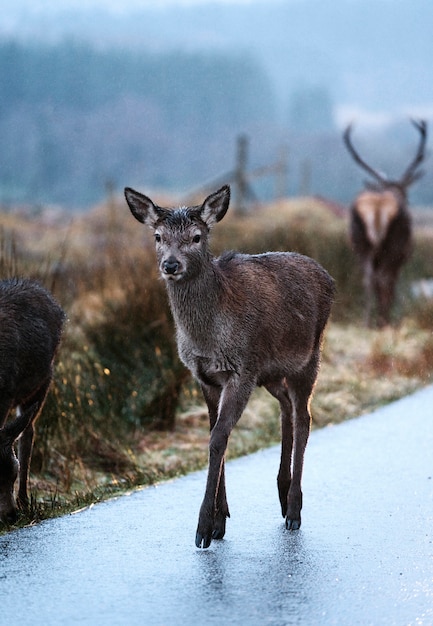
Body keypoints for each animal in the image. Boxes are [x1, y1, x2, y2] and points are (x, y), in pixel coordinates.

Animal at [0, 278, 65, 520]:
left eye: (14, 471)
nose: (10, 516)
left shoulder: (7, 392)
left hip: (44, 380)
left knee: (28, 432)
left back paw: (24, 500)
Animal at [125, 183, 334, 544]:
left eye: (196, 237)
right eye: (158, 236)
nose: (170, 265)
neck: (208, 338)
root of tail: (330, 278)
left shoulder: (241, 370)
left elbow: (219, 438)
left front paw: (203, 527)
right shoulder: (205, 377)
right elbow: (214, 435)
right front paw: (219, 521)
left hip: (308, 358)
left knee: (305, 416)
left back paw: (294, 509)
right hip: (271, 373)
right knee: (287, 409)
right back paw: (282, 493)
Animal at [342, 120, 426, 330]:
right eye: (407, 195)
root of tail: (378, 206)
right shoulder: (401, 258)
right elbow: (392, 286)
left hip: (361, 243)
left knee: (368, 279)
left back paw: (367, 322)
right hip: (393, 246)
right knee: (383, 279)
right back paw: (383, 321)